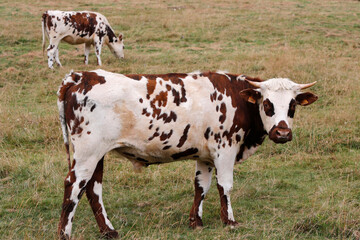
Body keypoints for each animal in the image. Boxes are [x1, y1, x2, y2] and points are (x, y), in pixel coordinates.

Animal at [57, 69, 318, 238]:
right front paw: (229, 221)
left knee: (93, 189)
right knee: (74, 186)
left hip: (97, 155)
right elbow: (225, 185)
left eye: (292, 106)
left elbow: (201, 186)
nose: (282, 132)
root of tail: (82, 76)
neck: (236, 96)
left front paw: (196, 221)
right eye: (267, 104)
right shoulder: (225, 149)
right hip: (88, 152)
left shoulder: (205, 156)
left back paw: (108, 231)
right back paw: (65, 233)